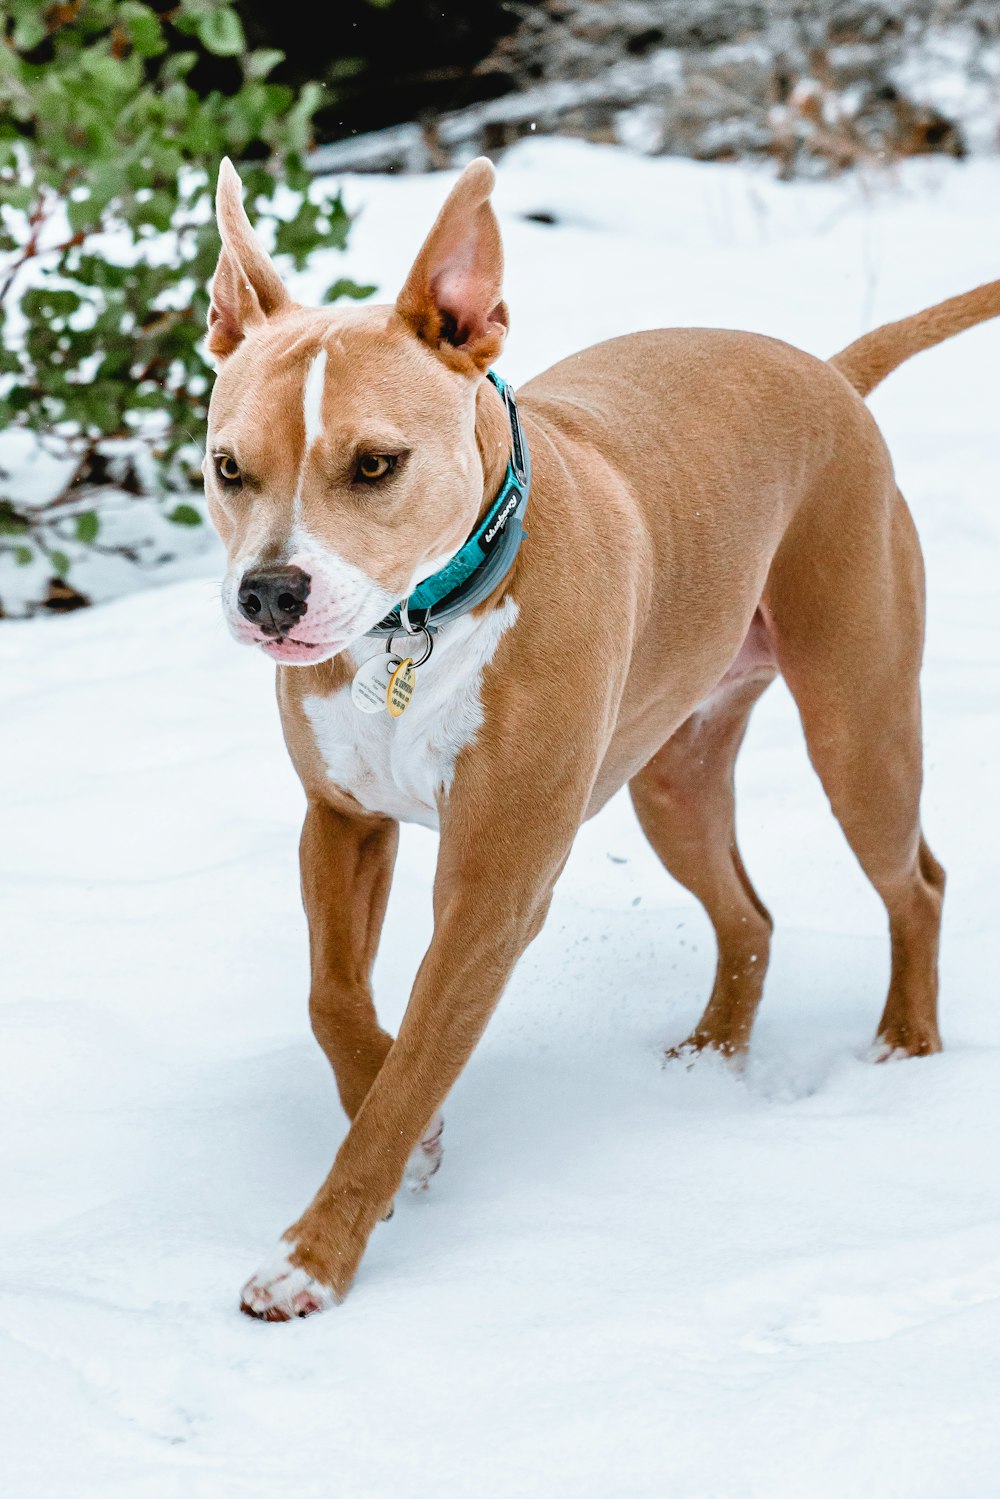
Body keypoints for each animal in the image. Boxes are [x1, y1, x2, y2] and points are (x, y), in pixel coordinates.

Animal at [205, 155, 1000, 1325]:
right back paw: (711, 1056)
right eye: (228, 467)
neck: (423, 623)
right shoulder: (340, 822)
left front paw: (314, 1255)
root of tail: (827, 370)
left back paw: (905, 1043)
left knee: (917, 881)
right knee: (747, 913)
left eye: (375, 465)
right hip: (672, 774)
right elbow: (334, 999)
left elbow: (413, 1068)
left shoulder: (493, 889)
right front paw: (409, 1140)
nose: (268, 593)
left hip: (858, 728)